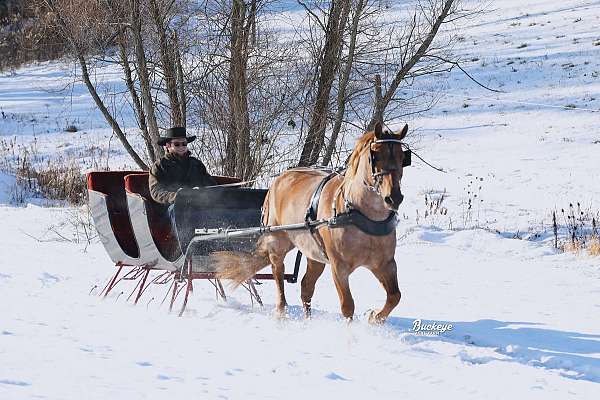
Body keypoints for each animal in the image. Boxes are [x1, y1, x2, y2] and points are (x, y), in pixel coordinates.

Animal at [213, 122, 410, 322]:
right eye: (375, 156)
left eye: (403, 157)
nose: (394, 198)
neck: (360, 215)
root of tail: (278, 180)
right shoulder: (339, 267)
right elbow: (347, 306)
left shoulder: (385, 264)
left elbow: (395, 296)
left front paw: (374, 317)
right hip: (277, 243)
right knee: (278, 274)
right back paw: (281, 311)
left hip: (314, 255)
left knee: (306, 287)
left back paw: (307, 319)